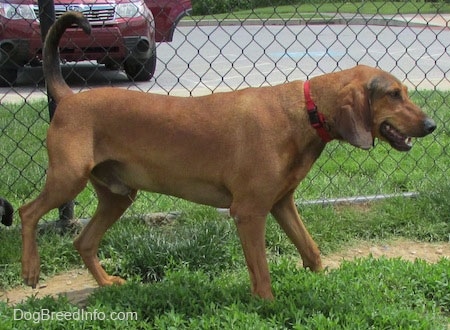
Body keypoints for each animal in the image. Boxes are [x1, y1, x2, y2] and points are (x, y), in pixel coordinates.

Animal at [18, 12, 436, 300]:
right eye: (394, 94)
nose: (432, 124)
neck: (305, 110)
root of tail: (68, 97)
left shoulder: (282, 203)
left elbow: (311, 251)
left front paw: (324, 284)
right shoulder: (249, 212)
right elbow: (262, 273)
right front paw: (268, 306)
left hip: (117, 194)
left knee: (83, 242)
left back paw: (106, 283)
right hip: (68, 179)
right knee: (27, 212)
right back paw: (30, 270)